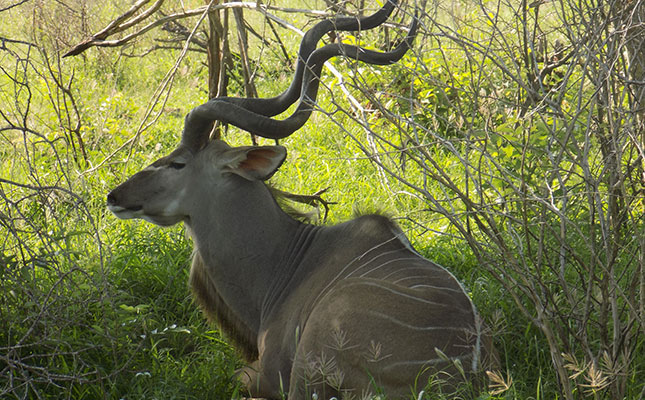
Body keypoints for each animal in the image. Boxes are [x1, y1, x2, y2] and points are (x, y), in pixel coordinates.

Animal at [108, 2, 496, 396]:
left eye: (177, 163)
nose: (114, 196)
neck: (286, 258)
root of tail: (460, 374)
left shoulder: (267, 373)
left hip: (312, 355)